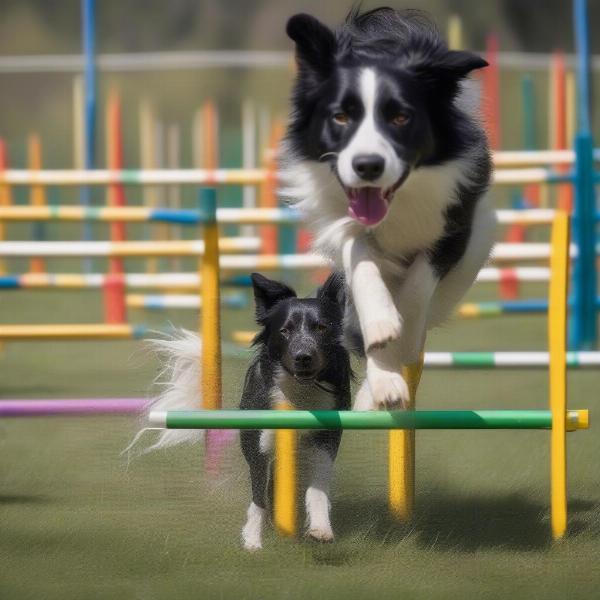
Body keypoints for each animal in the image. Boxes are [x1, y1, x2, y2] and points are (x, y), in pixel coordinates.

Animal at [240, 272, 352, 548]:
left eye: (322, 327)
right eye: (285, 330)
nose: (303, 356)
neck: (301, 391)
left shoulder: (326, 438)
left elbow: (318, 487)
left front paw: (321, 529)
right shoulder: (259, 441)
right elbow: (258, 493)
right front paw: (252, 541)